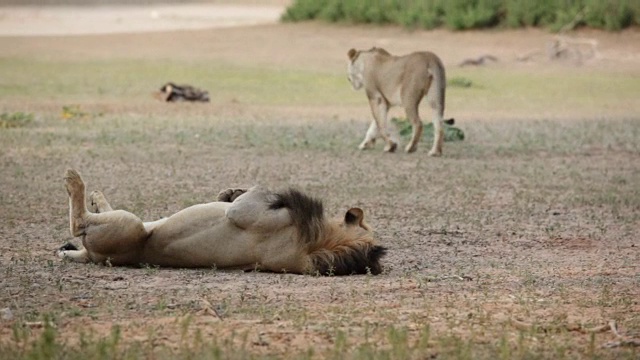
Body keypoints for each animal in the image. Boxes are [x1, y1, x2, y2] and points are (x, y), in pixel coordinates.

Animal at [58, 169, 384, 276]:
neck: (323, 243)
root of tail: (92, 257)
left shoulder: (244, 213)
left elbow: (252, 195)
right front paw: (227, 192)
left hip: (132, 225)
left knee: (79, 224)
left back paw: (77, 184)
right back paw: (96, 198)